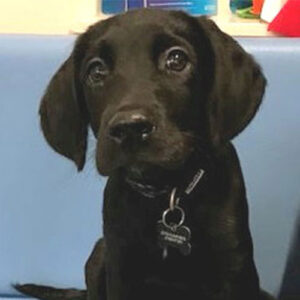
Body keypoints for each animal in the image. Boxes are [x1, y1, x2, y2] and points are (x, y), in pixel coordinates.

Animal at [15, 7, 274, 300]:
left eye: (176, 59)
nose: (130, 128)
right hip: (98, 255)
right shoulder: (120, 266)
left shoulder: (234, 267)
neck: (167, 195)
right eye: (96, 71)